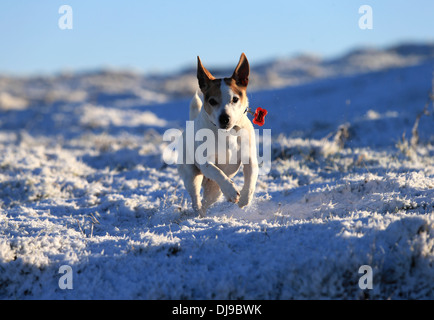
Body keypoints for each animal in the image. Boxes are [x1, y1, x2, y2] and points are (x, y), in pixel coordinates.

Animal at [179, 53, 260, 218]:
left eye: (235, 99)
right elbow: (218, 172)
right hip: (192, 176)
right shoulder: (206, 163)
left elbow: (250, 181)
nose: (224, 118)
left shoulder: (250, 159)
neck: (227, 133)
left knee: (207, 200)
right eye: (212, 101)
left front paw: (243, 199)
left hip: (214, 190)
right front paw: (231, 191)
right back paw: (200, 214)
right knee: (196, 200)